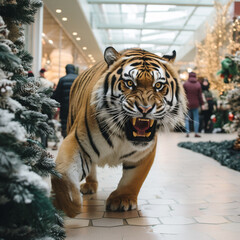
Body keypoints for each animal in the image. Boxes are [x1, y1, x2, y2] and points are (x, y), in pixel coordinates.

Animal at [51, 46, 188, 218]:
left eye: (158, 86)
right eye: (129, 83)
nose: (145, 108)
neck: (123, 135)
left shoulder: (144, 153)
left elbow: (133, 178)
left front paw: (122, 199)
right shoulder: (77, 141)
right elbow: (63, 173)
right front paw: (67, 205)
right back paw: (89, 187)